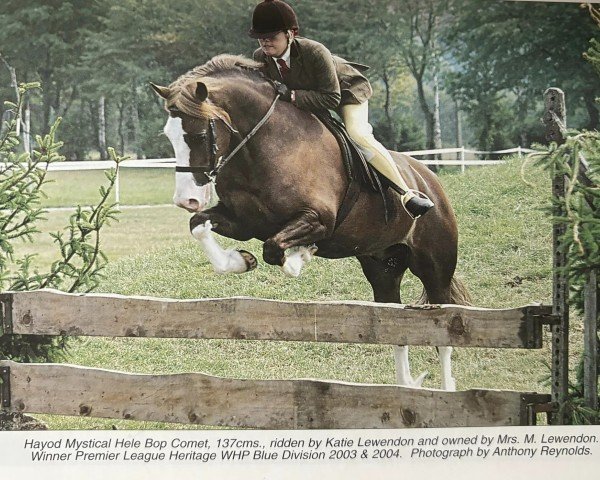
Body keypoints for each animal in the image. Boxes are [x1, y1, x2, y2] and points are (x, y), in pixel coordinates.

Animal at [152, 54, 472, 390]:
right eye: (169, 136)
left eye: (200, 135)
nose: (185, 200)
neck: (265, 147)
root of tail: (430, 180)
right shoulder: (243, 223)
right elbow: (201, 225)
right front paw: (240, 261)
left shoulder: (319, 220)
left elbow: (275, 249)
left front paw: (300, 256)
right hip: (383, 269)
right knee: (397, 328)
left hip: (435, 267)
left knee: (443, 334)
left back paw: (446, 391)